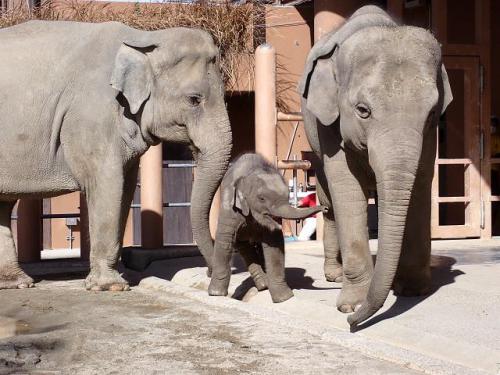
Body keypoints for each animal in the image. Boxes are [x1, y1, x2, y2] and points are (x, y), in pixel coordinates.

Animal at [0, 19, 230, 290]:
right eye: (194, 99)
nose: (210, 277)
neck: (144, 38)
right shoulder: (92, 115)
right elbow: (108, 182)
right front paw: (111, 286)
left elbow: (126, 187)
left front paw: (111, 281)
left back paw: (17, 282)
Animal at [209, 154, 326, 304]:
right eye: (262, 199)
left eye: (287, 196)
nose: (326, 208)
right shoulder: (229, 207)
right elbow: (225, 240)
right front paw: (215, 294)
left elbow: (274, 244)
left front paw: (283, 298)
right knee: (243, 245)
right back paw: (263, 284)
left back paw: (264, 284)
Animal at [298, 5, 456, 328]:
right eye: (362, 110)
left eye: (432, 112)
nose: (352, 323)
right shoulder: (328, 125)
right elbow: (346, 188)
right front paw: (350, 305)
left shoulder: (429, 135)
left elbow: (421, 182)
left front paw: (413, 290)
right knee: (329, 204)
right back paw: (334, 275)